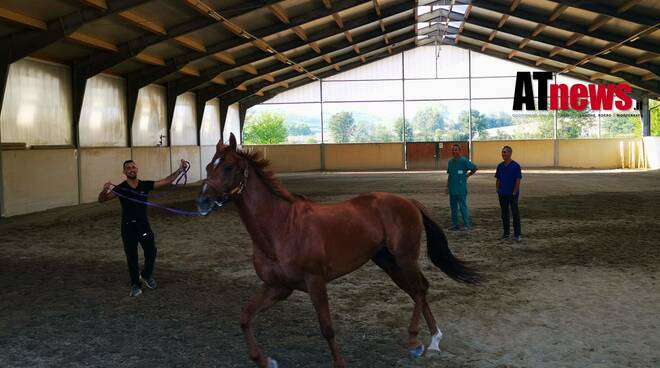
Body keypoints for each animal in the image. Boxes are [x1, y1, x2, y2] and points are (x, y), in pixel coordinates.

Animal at [196, 135, 480, 368]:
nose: (202, 202)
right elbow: (245, 317)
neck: (281, 227)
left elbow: (327, 327)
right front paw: (265, 360)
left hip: (405, 258)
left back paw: (416, 342)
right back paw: (433, 340)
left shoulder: (315, 282)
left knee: (420, 289)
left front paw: (339, 362)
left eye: (228, 167)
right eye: (209, 167)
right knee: (417, 290)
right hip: (388, 262)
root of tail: (407, 201)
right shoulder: (277, 287)